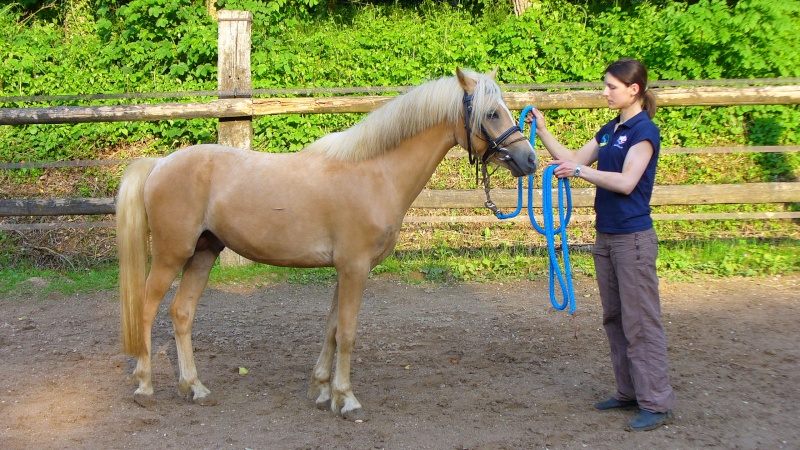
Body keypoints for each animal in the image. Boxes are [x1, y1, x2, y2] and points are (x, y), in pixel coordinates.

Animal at [117, 67, 536, 422]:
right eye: (492, 113)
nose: (529, 159)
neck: (375, 173)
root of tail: (158, 164)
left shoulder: (345, 270)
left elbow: (332, 330)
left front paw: (323, 390)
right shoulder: (355, 268)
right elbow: (347, 334)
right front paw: (347, 399)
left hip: (203, 254)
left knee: (181, 313)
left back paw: (195, 387)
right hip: (172, 255)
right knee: (147, 309)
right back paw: (145, 386)